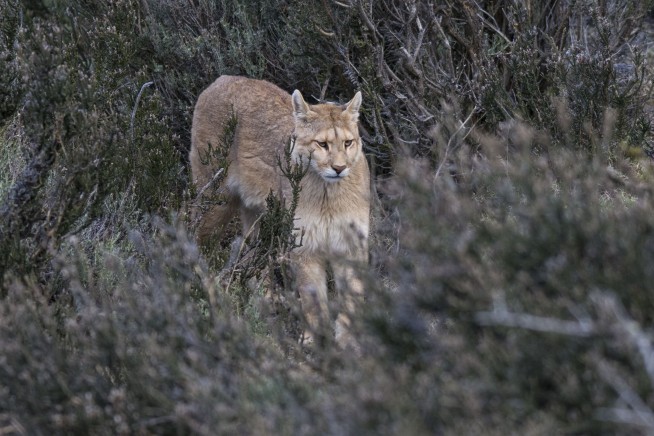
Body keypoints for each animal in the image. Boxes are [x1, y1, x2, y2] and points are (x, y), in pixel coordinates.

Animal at [190, 75, 370, 345]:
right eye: (322, 144)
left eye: (348, 142)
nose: (339, 168)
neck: (329, 195)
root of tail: (224, 79)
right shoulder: (306, 247)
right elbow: (313, 298)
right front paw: (314, 340)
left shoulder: (351, 247)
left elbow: (352, 297)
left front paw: (349, 342)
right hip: (215, 199)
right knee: (195, 234)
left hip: (256, 215)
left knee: (250, 251)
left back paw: (265, 298)